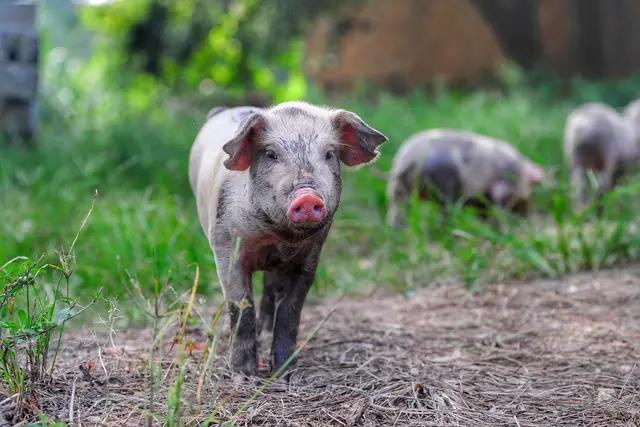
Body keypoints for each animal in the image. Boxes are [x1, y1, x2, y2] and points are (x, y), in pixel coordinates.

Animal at [189, 102, 384, 376]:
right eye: (271, 154)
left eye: (329, 154)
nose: (307, 197)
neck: (278, 236)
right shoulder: (224, 243)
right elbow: (241, 306)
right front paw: (245, 373)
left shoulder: (310, 256)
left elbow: (290, 310)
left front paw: (284, 372)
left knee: (270, 289)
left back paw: (265, 331)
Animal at [384, 129, 544, 229]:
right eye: (532, 190)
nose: (530, 219)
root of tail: (409, 159)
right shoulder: (501, 186)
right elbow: (498, 207)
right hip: (446, 182)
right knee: (446, 209)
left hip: (397, 189)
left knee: (396, 209)